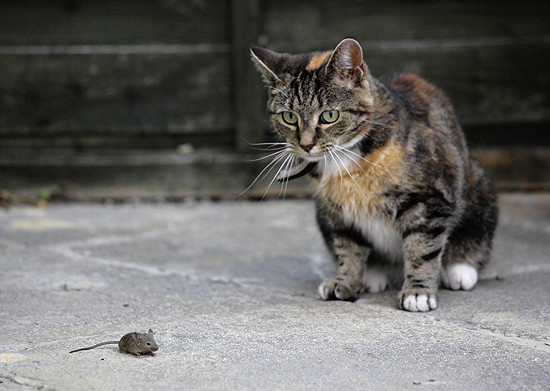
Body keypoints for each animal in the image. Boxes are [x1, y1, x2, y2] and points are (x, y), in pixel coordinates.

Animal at [250, 39, 500, 312]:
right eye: (289, 117)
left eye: (329, 115)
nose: (306, 146)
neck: (344, 158)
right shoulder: (336, 213)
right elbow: (346, 248)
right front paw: (345, 282)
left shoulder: (429, 199)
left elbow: (422, 248)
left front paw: (418, 292)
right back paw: (373, 274)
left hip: (479, 188)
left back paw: (459, 270)